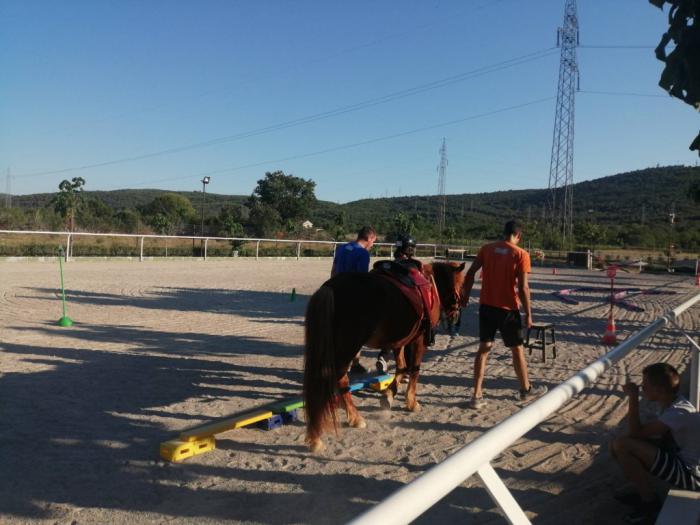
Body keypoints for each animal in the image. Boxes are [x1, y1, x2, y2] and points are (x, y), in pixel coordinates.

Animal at [302, 260, 465, 453]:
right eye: (460, 286)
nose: (456, 317)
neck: (429, 283)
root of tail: (330, 287)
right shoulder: (419, 341)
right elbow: (414, 369)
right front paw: (412, 402)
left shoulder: (400, 341)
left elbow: (402, 367)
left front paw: (389, 395)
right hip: (347, 348)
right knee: (338, 379)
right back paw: (346, 422)